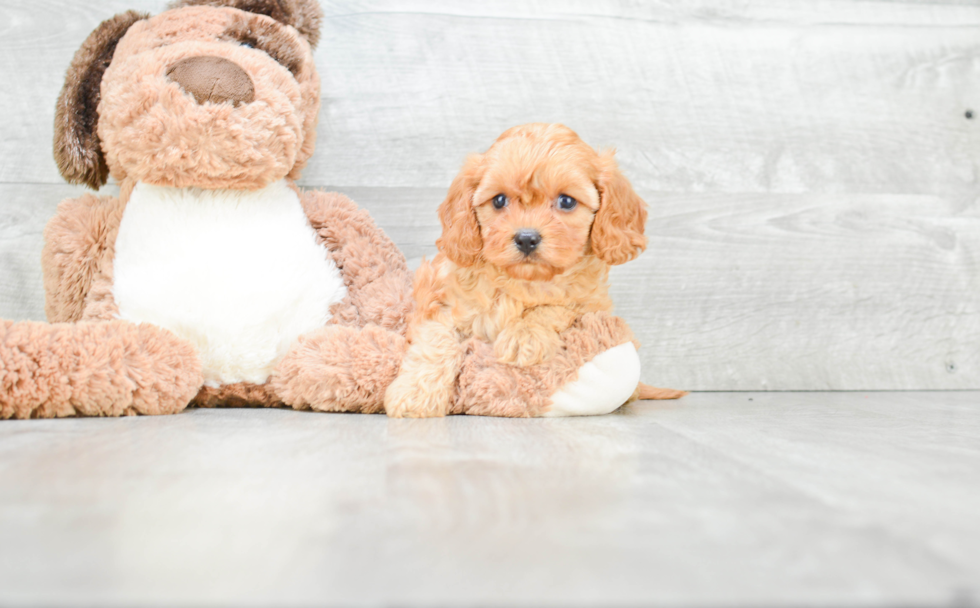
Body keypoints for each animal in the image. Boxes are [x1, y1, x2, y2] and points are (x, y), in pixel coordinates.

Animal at [384, 123, 680, 418]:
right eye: (499, 200)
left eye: (566, 201)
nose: (526, 238)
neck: (524, 280)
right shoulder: (440, 303)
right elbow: (436, 342)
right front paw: (413, 394)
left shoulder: (590, 304)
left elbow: (554, 307)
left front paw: (523, 336)